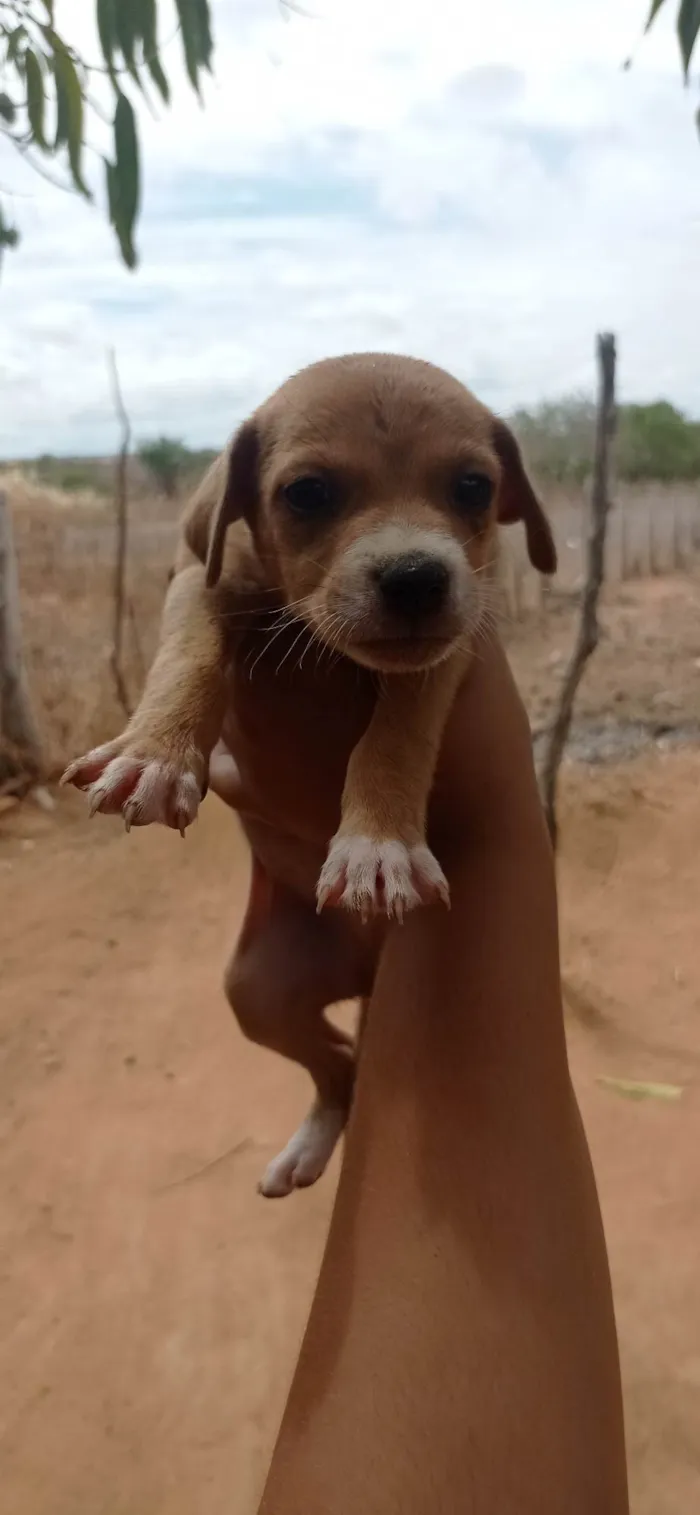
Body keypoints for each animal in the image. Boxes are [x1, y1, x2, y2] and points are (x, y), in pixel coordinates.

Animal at [62, 351, 554, 1193]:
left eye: (473, 487)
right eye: (307, 493)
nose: (417, 577)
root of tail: (361, 970)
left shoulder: (448, 650)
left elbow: (394, 735)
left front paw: (378, 845)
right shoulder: (202, 579)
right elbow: (187, 655)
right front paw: (153, 752)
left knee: (346, 1056)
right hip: (257, 991)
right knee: (339, 1064)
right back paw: (312, 1141)